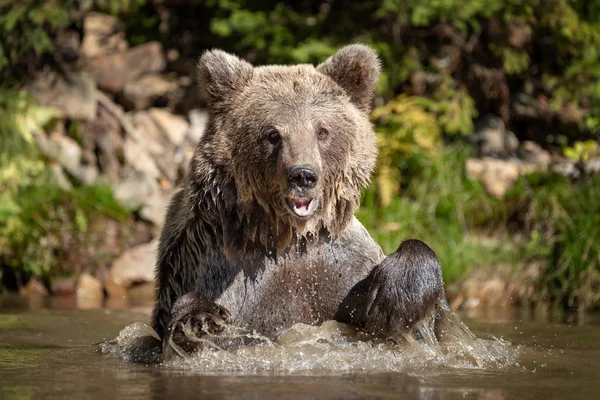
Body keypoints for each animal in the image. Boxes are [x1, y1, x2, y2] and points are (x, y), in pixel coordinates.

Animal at [152, 43, 448, 356]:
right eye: (272, 134)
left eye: (322, 131)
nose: (303, 175)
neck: (290, 234)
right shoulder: (220, 268)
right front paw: (200, 319)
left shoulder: (341, 269)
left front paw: (398, 297)